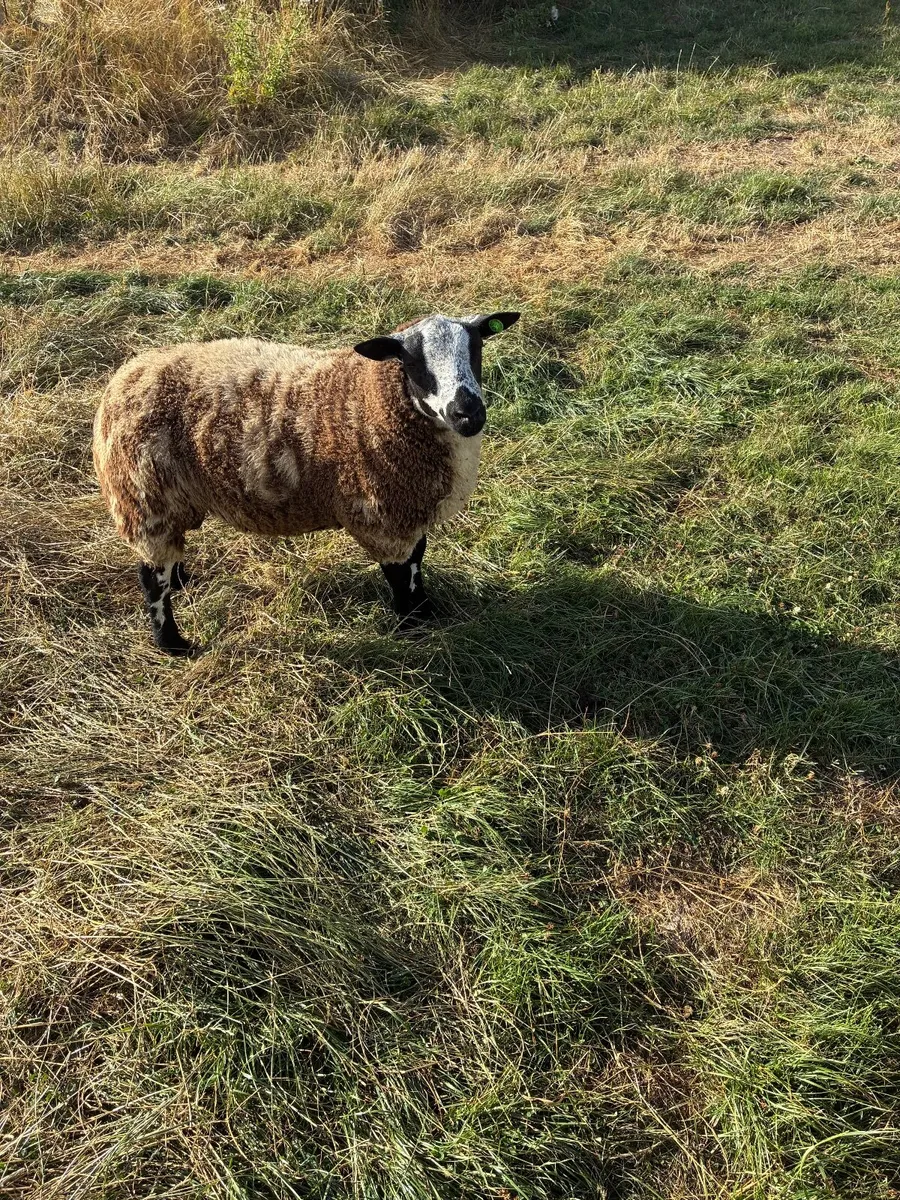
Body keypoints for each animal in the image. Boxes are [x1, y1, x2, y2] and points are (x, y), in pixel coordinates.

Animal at [93, 310, 520, 655]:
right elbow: (401, 577)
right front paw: (411, 626)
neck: (369, 397)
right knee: (151, 579)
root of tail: (123, 378)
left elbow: (417, 561)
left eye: (476, 347)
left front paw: (426, 611)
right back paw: (173, 643)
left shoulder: (409, 510)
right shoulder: (383, 517)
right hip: (144, 497)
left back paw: (183, 580)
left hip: (168, 501)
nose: (468, 413)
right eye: (412, 361)